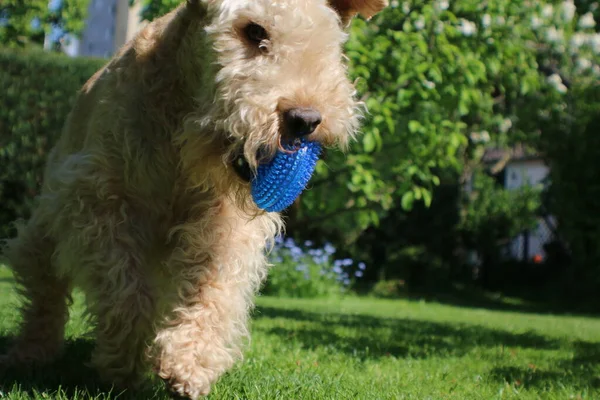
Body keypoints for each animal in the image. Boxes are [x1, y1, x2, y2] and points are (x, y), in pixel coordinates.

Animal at [1, 0, 384, 396]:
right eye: (254, 30)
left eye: (330, 38)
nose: (306, 119)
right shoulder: (97, 200)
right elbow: (125, 291)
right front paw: (124, 361)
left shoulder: (224, 222)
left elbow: (213, 289)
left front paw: (188, 364)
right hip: (43, 234)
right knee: (44, 295)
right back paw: (30, 352)